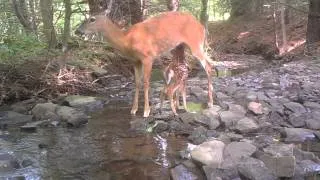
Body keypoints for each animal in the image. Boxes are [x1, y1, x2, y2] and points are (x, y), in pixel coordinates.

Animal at [75, 11, 215, 118]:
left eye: (92, 19)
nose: (77, 31)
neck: (127, 40)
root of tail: (202, 27)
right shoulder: (135, 61)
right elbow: (137, 83)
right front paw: (133, 109)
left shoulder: (148, 57)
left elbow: (147, 82)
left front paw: (146, 111)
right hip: (181, 47)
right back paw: (178, 104)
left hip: (196, 43)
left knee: (208, 67)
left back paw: (210, 102)